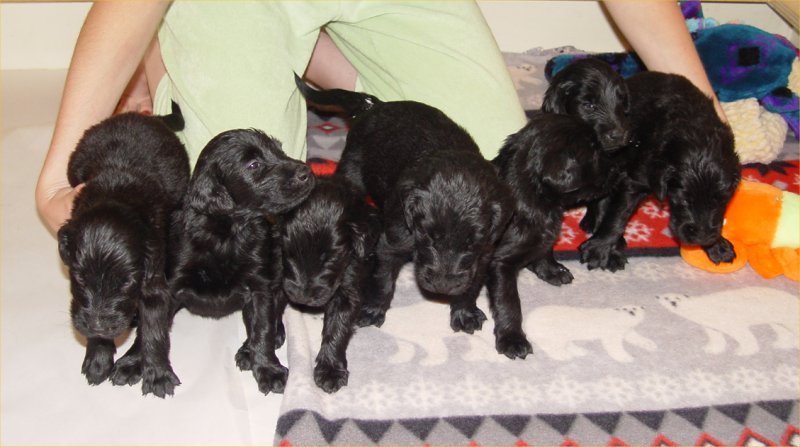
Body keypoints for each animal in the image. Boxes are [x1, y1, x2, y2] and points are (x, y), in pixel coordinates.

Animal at [57, 105, 190, 397]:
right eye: (79, 278)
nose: (97, 324)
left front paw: (158, 374)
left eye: (126, 283)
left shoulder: (154, 276)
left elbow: (154, 329)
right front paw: (98, 358)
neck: (115, 192)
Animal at [151, 128, 314, 395]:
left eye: (280, 150)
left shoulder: (259, 286)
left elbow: (263, 328)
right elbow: (153, 327)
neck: (225, 233)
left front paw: (268, 369)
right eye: (253, 164)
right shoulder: (171, 283)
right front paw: (149, 369)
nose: (307, 172)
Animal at [278, 175, 379, 392]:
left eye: (331, 258)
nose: (302, 297)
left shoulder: (348, 280)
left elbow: (337, 327)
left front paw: (330, 370)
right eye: (289, 253)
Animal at [295, 76, 530, 360]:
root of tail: (375, 105)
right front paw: (372, 310)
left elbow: (472, 284)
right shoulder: (393, 240)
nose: (442, 285)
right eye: (428, 236)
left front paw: (464, 312)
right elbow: (384, 280)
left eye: (471, 243)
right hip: (353, 167)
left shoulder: (484, 254)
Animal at [579, 71, 741, 271]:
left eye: (721, 201)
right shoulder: (636, 179)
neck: (697, 134)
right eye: (684, 200)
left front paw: (717, 245)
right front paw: (599, 248)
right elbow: (618, 214)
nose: (702, 238)